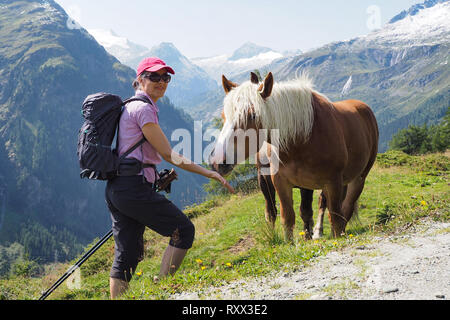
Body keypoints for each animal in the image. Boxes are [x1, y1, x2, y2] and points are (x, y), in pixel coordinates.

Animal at [209, 72, 378, 240]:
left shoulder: (329, 181)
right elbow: (285, 216)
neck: (301, 140)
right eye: (223, 116)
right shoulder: (278, 182)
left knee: (343, 207)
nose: (217, 161)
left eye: (252, 116)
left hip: (357, 179)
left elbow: (328, 215)